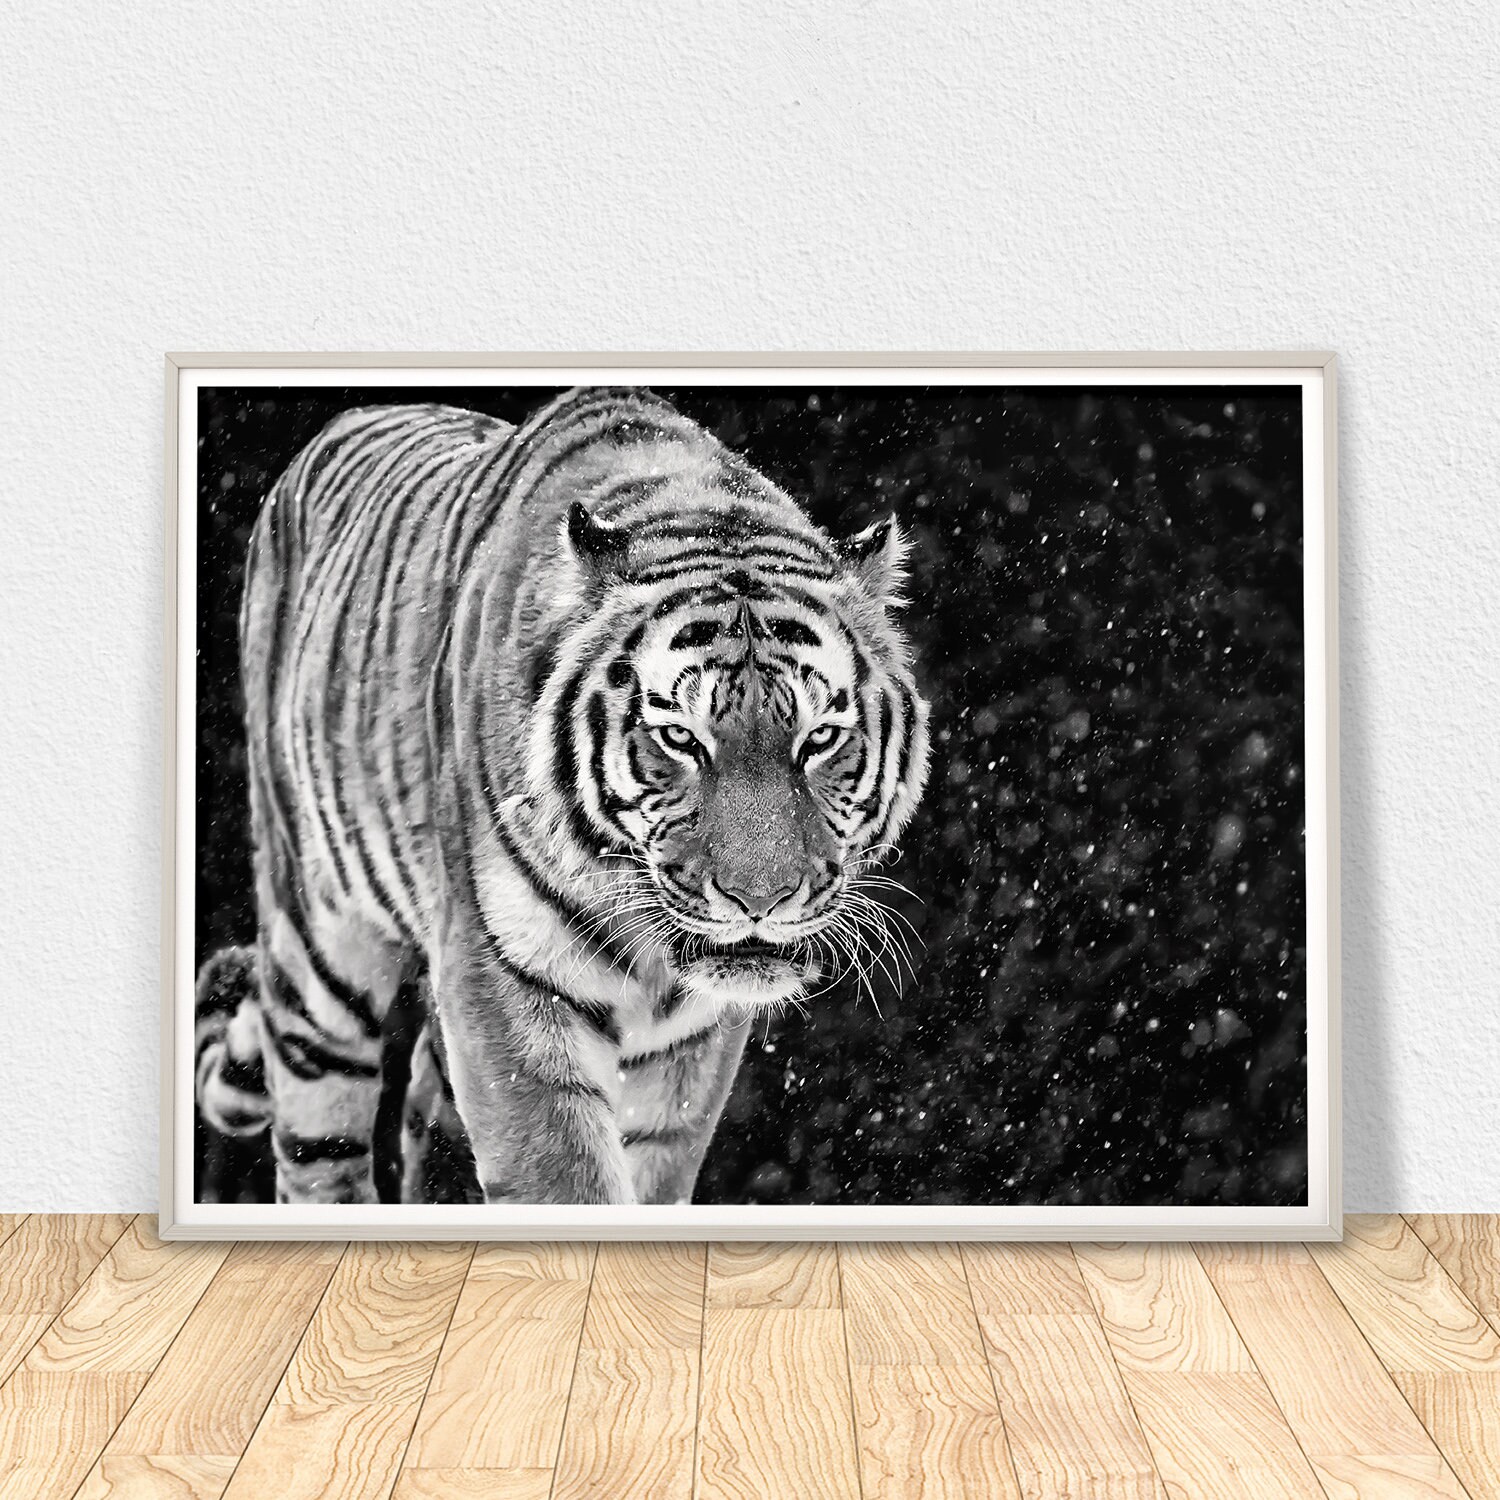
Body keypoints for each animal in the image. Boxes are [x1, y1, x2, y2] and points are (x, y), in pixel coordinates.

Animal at [202, 386, 930, 1206]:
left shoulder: (692, 1040)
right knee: (316, 1145)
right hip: (317, 953)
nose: (761, 901)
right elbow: (561, 1174)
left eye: (820, 739)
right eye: (680, 738)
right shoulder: (498, 976)